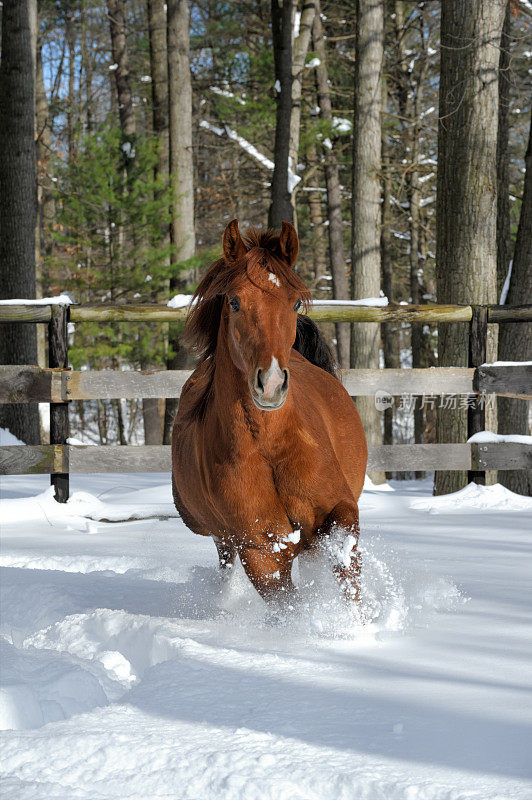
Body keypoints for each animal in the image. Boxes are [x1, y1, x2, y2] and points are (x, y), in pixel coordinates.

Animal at [172, 219, 368, 608]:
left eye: (295, 302)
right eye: (234, 301)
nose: (272, 383)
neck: (270, 447)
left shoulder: (339, 512)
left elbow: (349, 581)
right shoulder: (260, 549)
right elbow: (288, 608)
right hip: (225, 540)